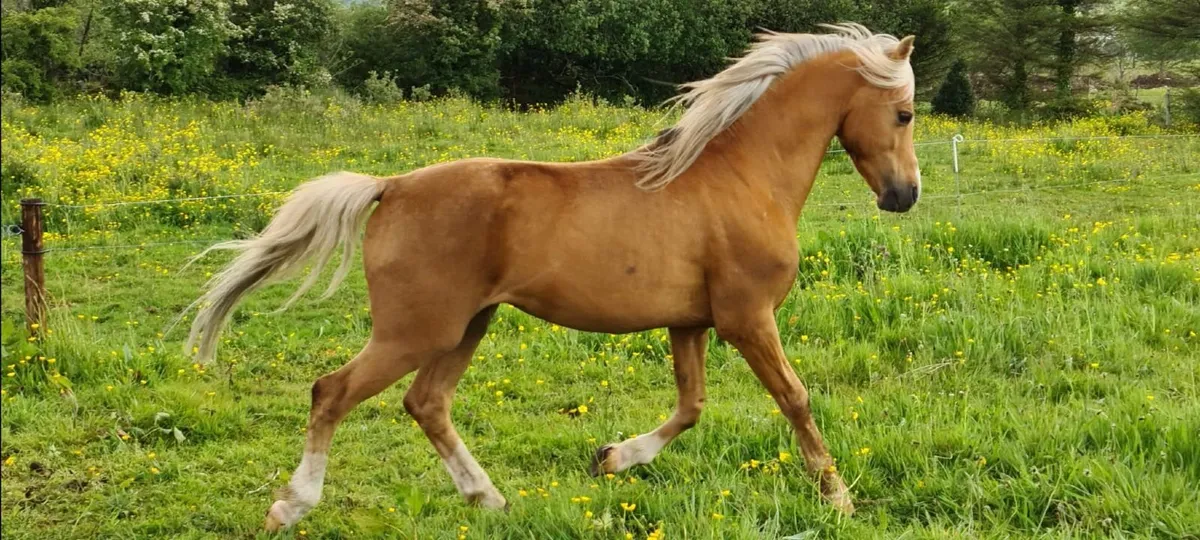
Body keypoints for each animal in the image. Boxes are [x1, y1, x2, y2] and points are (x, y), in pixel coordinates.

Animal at [184, 23, 921, 531]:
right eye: (906, 112)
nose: (905, 195)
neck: (741, 175)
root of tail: (389, 186)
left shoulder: (690, 322)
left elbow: (691, 406)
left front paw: (611, 458)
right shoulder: (747, 317)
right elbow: (794, 398)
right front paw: (839, 499)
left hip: (465, 327)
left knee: (426, 403)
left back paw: (489, 499)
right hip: (415, 331)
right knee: (332, 392)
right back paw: (291, 507)